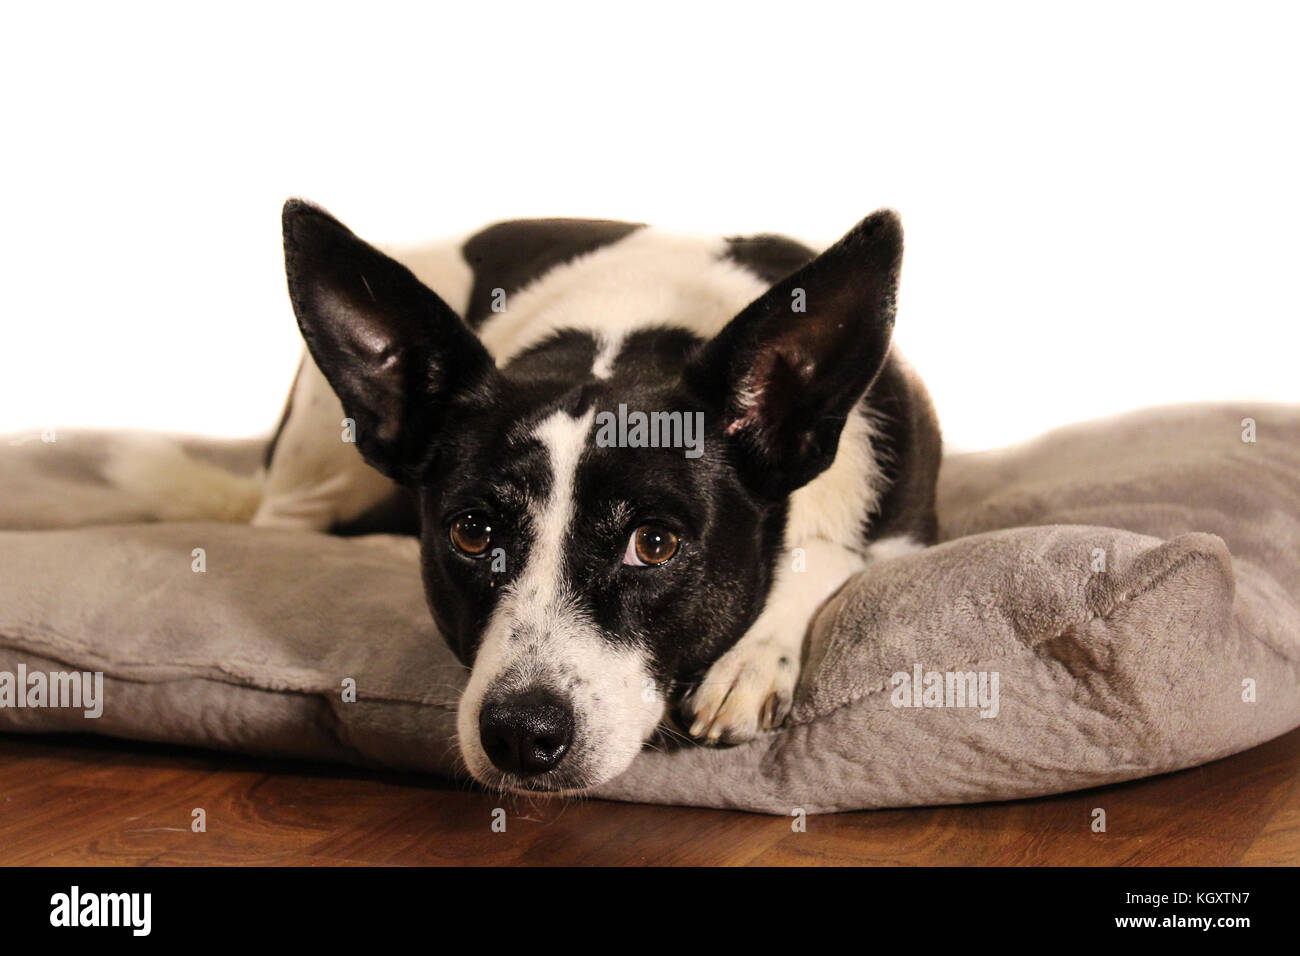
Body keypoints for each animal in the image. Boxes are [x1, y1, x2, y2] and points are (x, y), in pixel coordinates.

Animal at [142, 205, 941, 796]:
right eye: (472, 533)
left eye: (654, 544)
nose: (522, 736)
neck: (628, 324)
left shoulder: (903, 521)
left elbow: (828, 551)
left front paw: (750, 659)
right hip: (319, 457)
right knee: (286, 521)